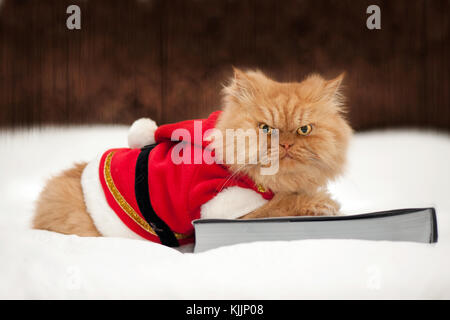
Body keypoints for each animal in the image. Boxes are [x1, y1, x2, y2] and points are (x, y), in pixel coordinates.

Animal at [33, 68, 354, 242]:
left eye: (303, 130)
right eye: (265, 128)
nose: (285, 145)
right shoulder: (230, 209)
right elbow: (285, 204)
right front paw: (323, 203)